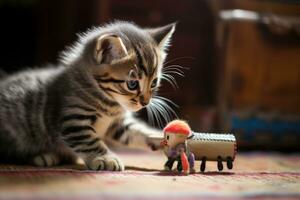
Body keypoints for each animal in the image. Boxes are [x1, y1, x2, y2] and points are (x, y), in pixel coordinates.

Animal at [0, 21, 176, 170]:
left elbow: (137, 132)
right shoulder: (73, 120)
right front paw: (106, 158)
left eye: (154, 83)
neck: (110, 103)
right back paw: (42, 156)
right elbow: (90, 141)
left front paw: (160, 137)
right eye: (132, 84)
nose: (145, 102)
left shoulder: (116, 124)